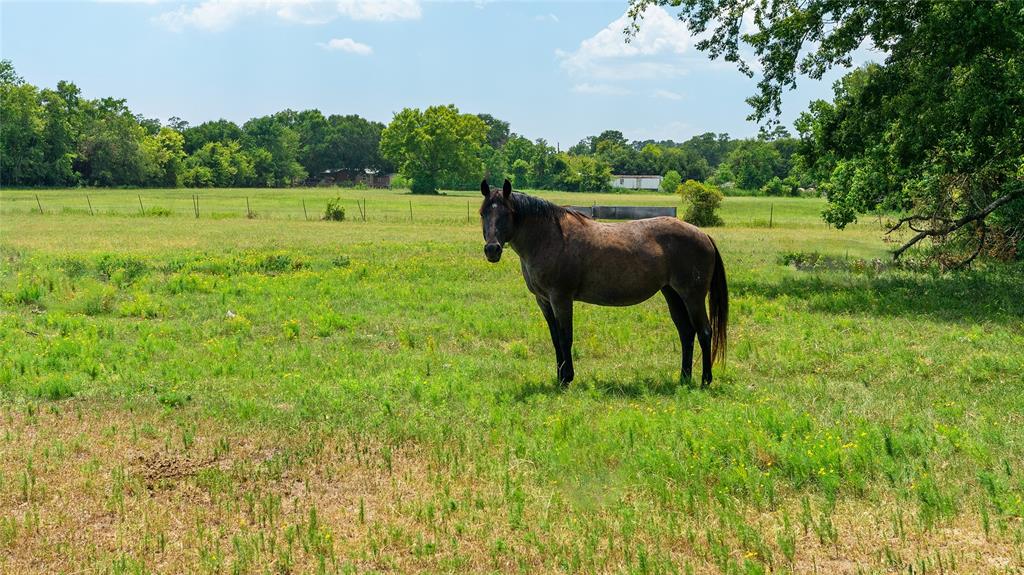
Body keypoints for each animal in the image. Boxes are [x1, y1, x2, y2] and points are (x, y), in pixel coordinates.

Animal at [481, 177, 729, 386]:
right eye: (483, 213)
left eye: (506, 213)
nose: (492, 250)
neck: (549, 238)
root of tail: (703, 235)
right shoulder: (543, 301)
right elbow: (555, 339)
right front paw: (560, 377)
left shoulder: (561, 299)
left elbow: (565, 337)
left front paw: (567, 379)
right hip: (672, 293)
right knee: (686, 332)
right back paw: (683, 378)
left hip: (692, 296)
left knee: (704, 331)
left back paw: (705, 380)